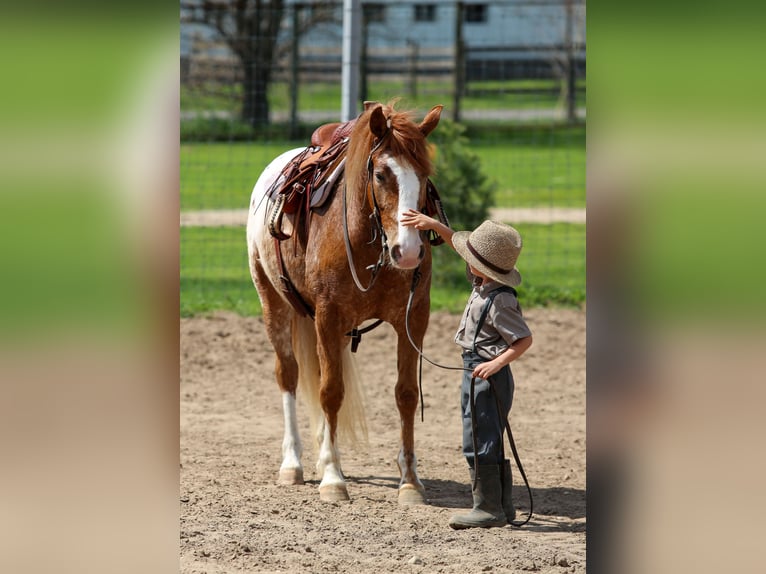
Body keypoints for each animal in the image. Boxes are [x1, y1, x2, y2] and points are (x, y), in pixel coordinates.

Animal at [246, 101, 443, 504]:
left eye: (424, 175)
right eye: (381, 174)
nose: (408, 251)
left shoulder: (414, 318)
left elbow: (405, 394)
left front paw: (410, 481)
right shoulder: (327, 315)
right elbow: (331, 392)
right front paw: (333, 479)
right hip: (273, 302)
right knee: (289, 375)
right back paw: (293, 464)